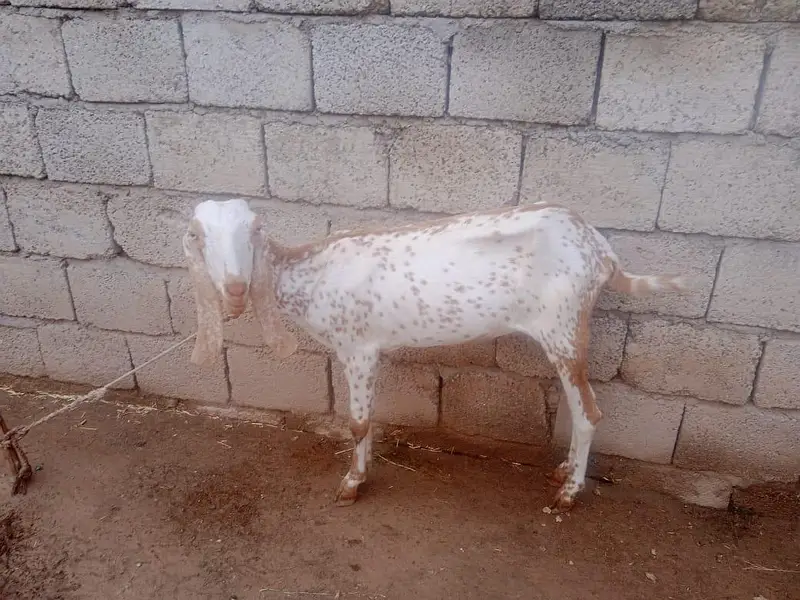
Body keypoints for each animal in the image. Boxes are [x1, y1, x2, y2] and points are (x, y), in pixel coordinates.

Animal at [183, 198, 687, 511]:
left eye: (254, 229)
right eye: (197, 235)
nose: (235, 289)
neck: (311, 275)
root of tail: (601, 252)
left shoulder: (358, 347)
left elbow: (358, 422)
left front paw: (351, 485)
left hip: (564, 326)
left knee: (590, 412)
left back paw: (569, 492)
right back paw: (563, 470)